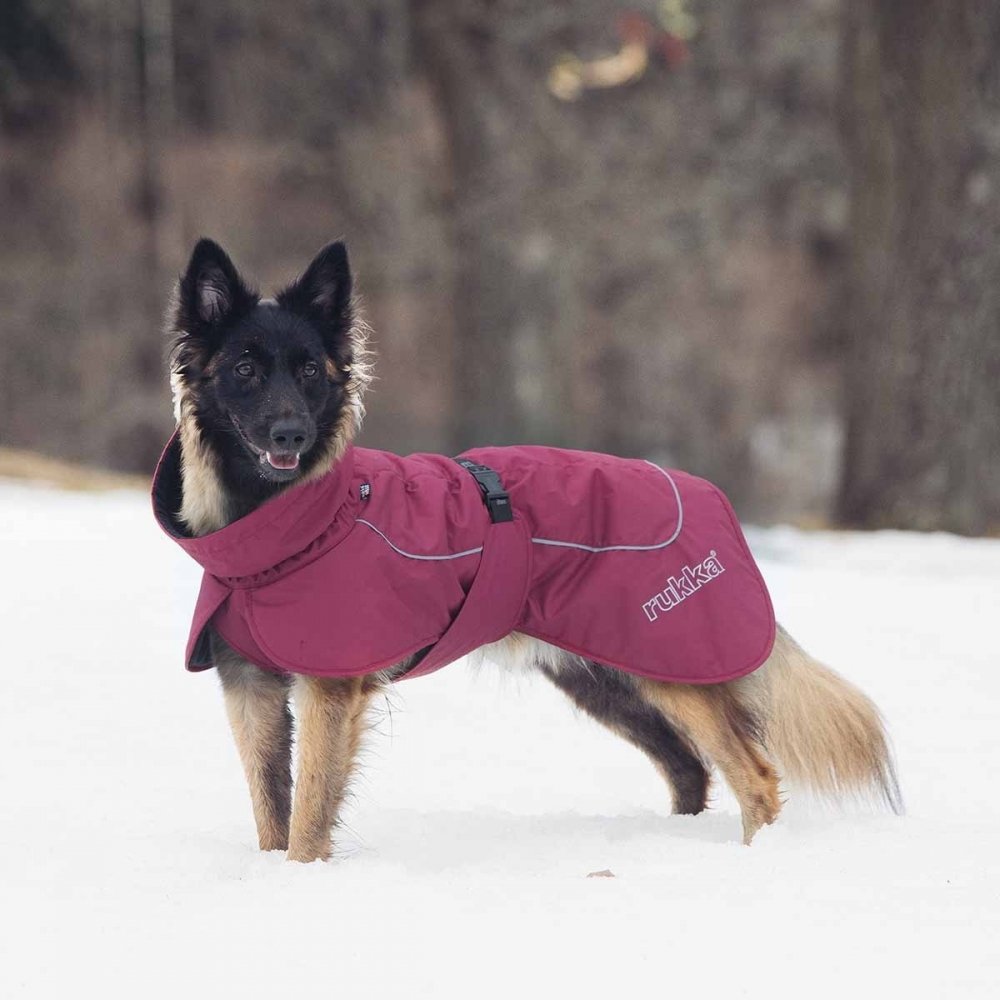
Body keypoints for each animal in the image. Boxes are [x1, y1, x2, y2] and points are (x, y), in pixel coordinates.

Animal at [156, 238, 900, 864]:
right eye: (246, 368)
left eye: (309, 370)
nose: (290, 433)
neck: (286, 532)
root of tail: (709, 497)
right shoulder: (249, 689)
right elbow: (270, 809)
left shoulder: (328, 690)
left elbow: (308, 814)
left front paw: (303, 879)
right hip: (608, 678)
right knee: (690, 767)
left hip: (669, 668)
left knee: (755, 776)